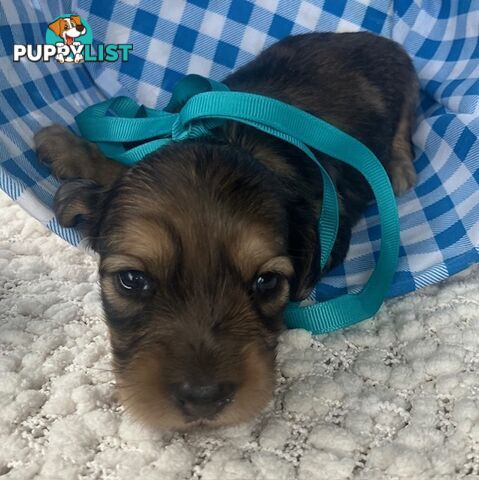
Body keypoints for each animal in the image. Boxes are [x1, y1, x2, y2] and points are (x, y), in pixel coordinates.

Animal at [33, 33, 418, 432]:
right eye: (132, 280)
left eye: (267, 282)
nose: (203, 400)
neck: (237, 141)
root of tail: (374, 36)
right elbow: (122, 161)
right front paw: (66, 147)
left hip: (407, 89)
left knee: (404, 129)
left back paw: (399, 170)